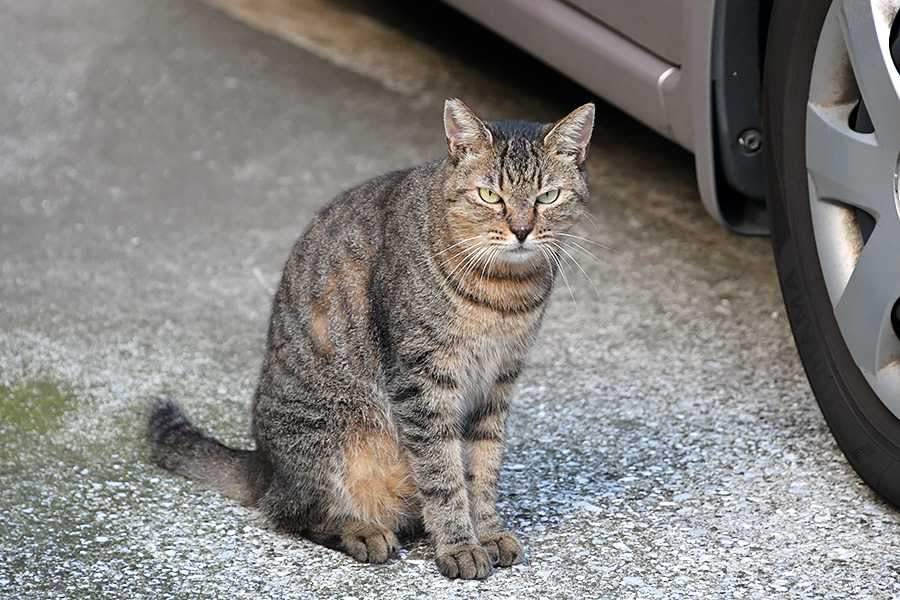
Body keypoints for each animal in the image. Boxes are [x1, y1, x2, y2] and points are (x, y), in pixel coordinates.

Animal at [147, 98, 596, 580]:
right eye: (490, 196)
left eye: (547, 197)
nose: (521, 229)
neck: (506, 292)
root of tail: (266, 466)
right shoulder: (421, 381)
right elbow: (443, 474)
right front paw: (459, 544)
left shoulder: (499, 381)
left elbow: (482, 467)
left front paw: (488, 531)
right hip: (333, 434)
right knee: (291, 513)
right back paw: (361, 531)